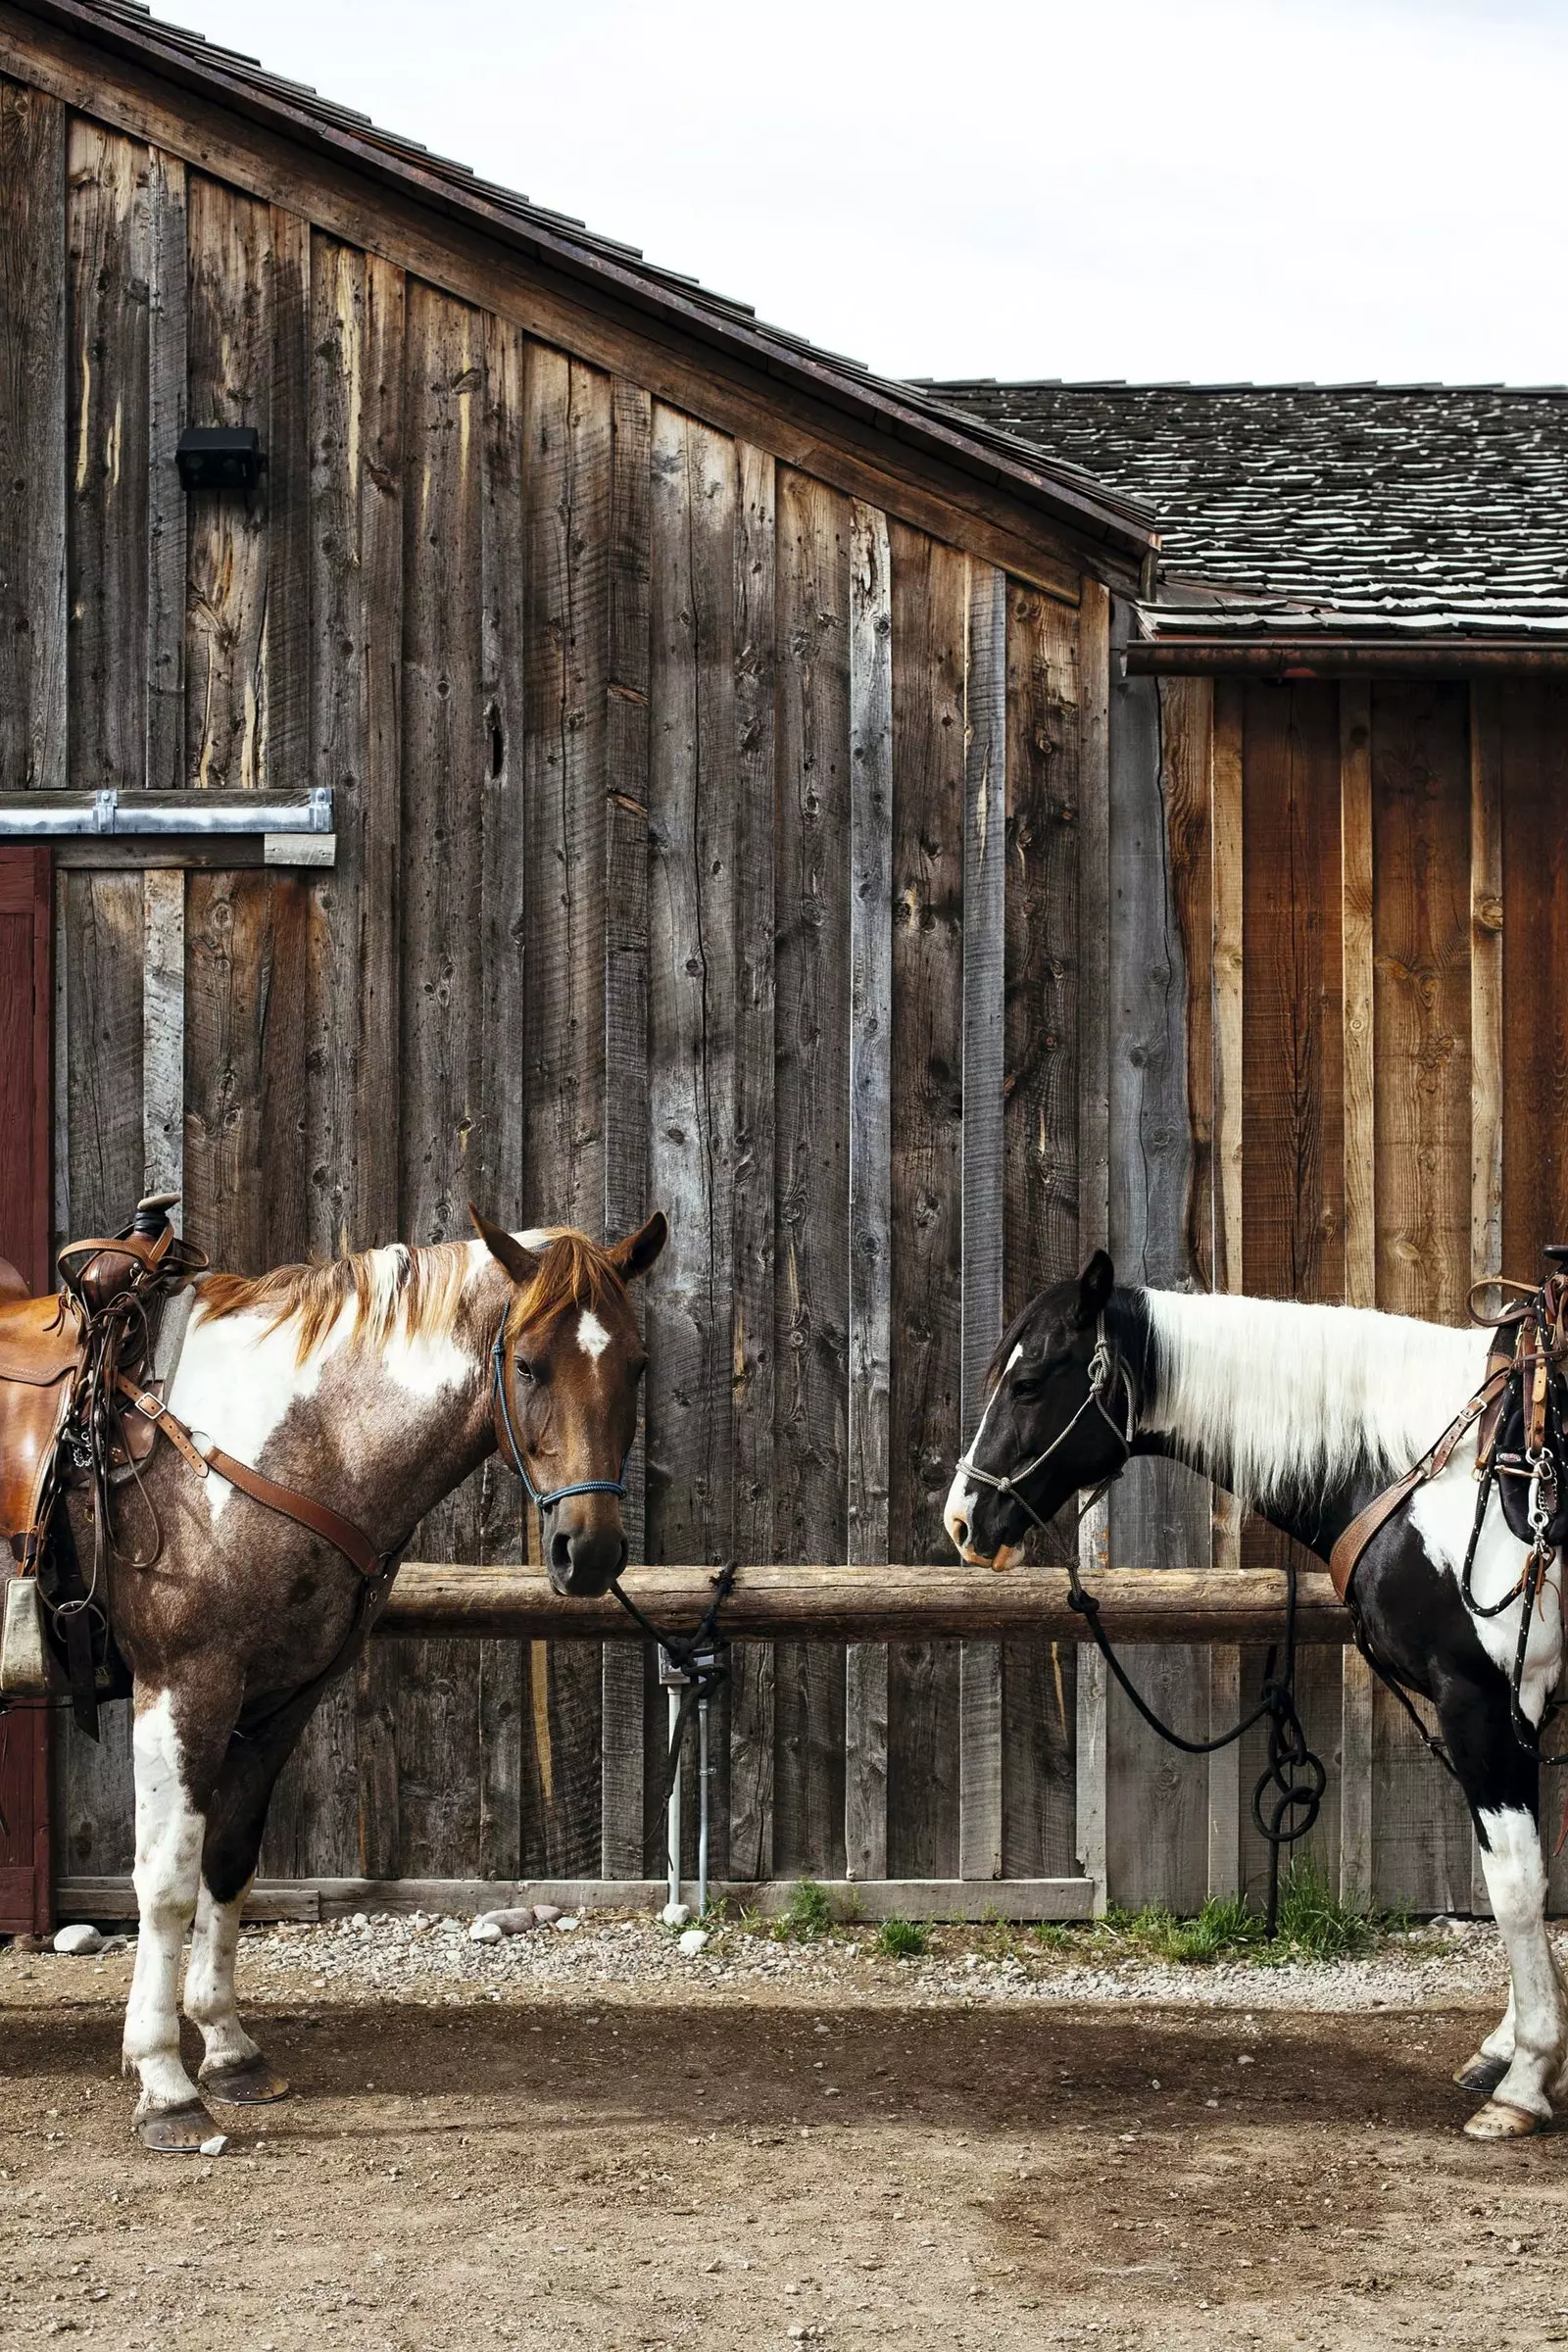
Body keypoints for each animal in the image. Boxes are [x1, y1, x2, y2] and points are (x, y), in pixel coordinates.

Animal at [72, 1213, 662, 2154]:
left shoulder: (281, 1699)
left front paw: (229, 2050)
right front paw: (165, 2083)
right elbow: (165, 1882)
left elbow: (229, 1864)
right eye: (529, 1364)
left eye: (636, 1364)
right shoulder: (183, 1684)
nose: (591, 1550)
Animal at [945, 1260, 1568, 2144]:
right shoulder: (1516, 1711)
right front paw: (1508, 2048)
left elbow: (1514, 1885)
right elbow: (1525, 1877)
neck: (1448, 1477)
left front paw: (1526, 2079)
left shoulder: (1480, 1702)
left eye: (1028, 1383)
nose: (962, 1520)